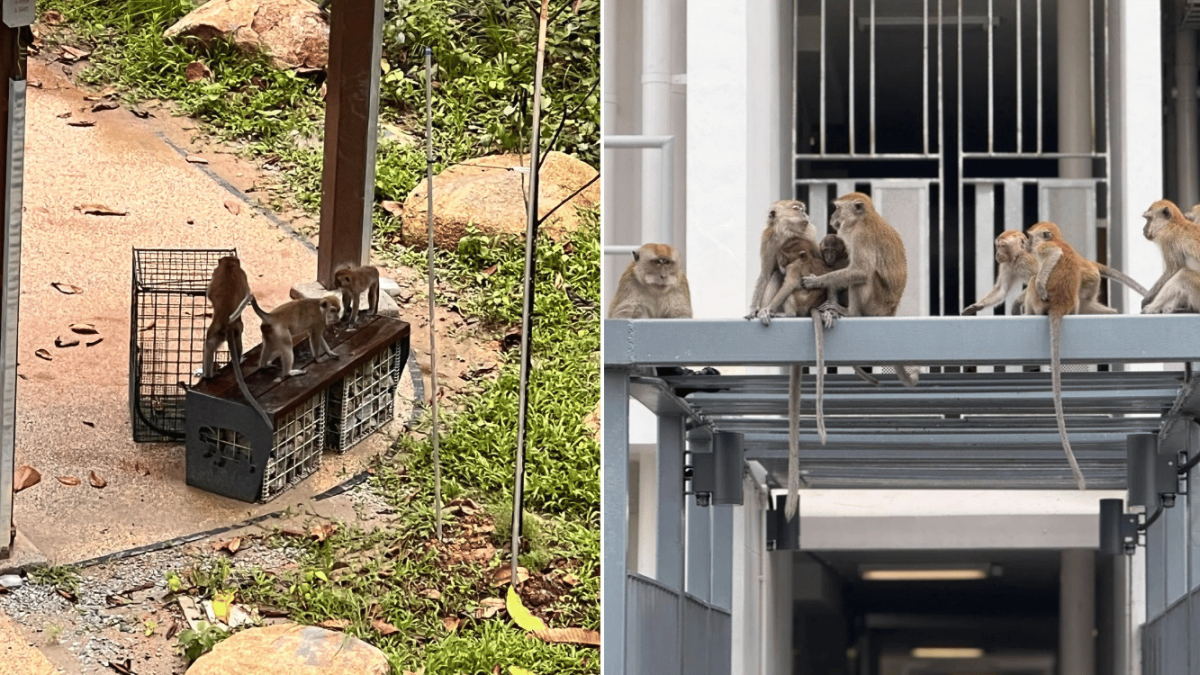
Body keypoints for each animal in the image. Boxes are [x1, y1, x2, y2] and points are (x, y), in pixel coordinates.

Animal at [201, 256, 270, 425]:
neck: (229, 266)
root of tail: (227, 323)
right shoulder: (242, 274)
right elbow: (246, 291)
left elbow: (209, 293)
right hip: (237, 329)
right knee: (236, 344)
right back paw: (239, 359)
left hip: (216, 331)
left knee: (209, 345)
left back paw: (209, 375)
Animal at [799, 192, 918, 387]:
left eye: (838, 208)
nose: (833, 216)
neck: (861, 220)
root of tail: (891, 310)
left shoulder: (860, 237)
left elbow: (860, 271)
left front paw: (817, 281)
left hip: (876, 303)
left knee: (864, 277)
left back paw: (850, 312)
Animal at [963, 230, 1148, 316]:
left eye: (1001, 245)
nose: (997, 254)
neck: (1017, 255)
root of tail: (1087, 261)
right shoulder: (1007, 265)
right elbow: (1001, 290)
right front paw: (976, 306)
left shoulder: (1027, 260)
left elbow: (1036, 277)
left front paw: (1016, 303)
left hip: (1087, 280)